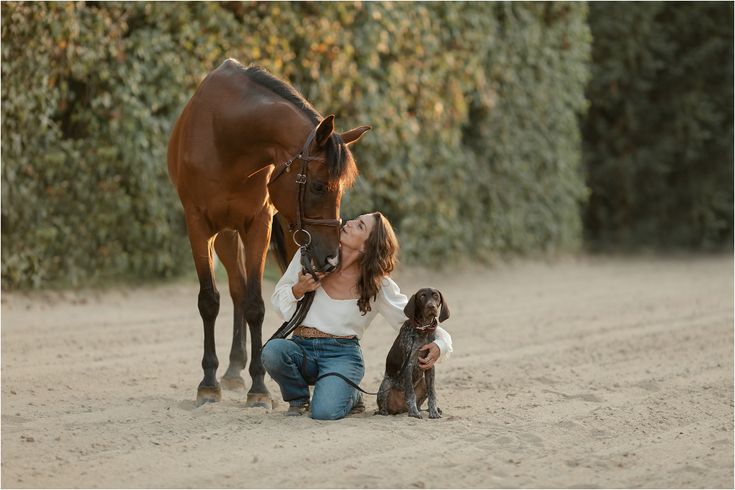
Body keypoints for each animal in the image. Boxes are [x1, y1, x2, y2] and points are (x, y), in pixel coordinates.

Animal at [169, 59, 370, 406]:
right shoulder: (198, 225)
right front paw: (208, 383)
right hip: (229, 234)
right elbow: (210, 300)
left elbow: (255, 304)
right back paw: (232, 370)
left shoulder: (258, 225)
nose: (332, 258)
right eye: (319, 186)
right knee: (236, 288)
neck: (225, 137)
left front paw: (259, 387)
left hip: (287, 234)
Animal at [380, 290, 448, 420]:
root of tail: (402, 409)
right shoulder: (409, 365)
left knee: (421, 403)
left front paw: (433, 411)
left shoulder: (429, 365)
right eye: (422, 296)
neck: (423, 328)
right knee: (383, 407)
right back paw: (385, 412)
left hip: (423, 382)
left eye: (436, 296)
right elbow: (410, 393)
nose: (431, 306)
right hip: (385, 385)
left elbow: (433, 394)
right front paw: (414, 412)